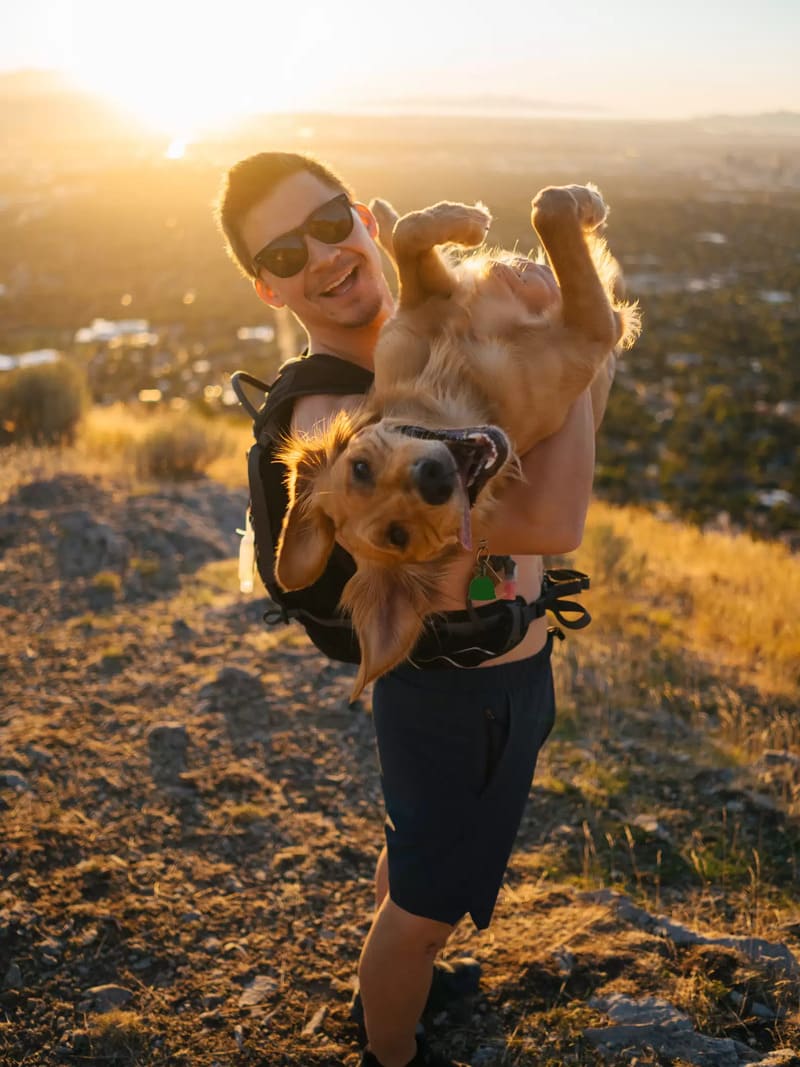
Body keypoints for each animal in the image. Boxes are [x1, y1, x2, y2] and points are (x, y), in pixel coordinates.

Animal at [275, 186, 640, 695]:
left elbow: (410, 237)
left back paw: (387, 215)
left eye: (361, 468)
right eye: (399, 536)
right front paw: (577, 205)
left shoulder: (421, 307)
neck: (458, 389)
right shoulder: (589, 331)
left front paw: (462, 222)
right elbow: (549, 215)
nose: (434, 478)